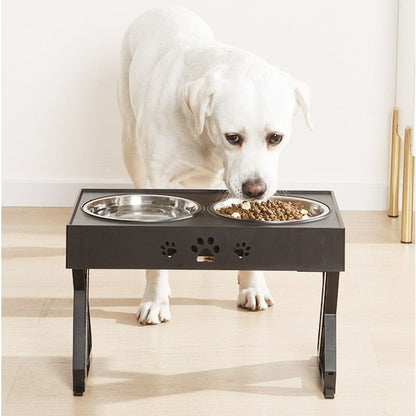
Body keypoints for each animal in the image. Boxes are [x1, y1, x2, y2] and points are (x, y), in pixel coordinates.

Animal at [117, 7, 312, 324]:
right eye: (232, 137)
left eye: (276, 137)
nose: (255, 190)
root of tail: (161, 8)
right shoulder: (158, 179)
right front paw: (155, 299)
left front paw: (252, 286)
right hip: (129, 141)